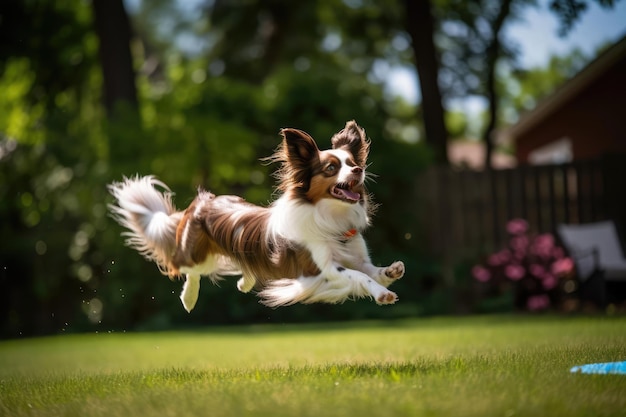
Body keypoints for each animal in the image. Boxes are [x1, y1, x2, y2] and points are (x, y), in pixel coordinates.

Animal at [107, 118, 404, 310]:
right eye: (331, 168)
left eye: (352, 163)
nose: (358, 171)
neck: (332, 217)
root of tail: (204, 202)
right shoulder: (322, 270)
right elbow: (360, 277)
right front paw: (382, 294)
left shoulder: (357, 257)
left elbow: (372, 270)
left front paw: (391, 271)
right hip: (195, 254)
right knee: (187, 269)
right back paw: (189, 298)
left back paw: (245, 282)